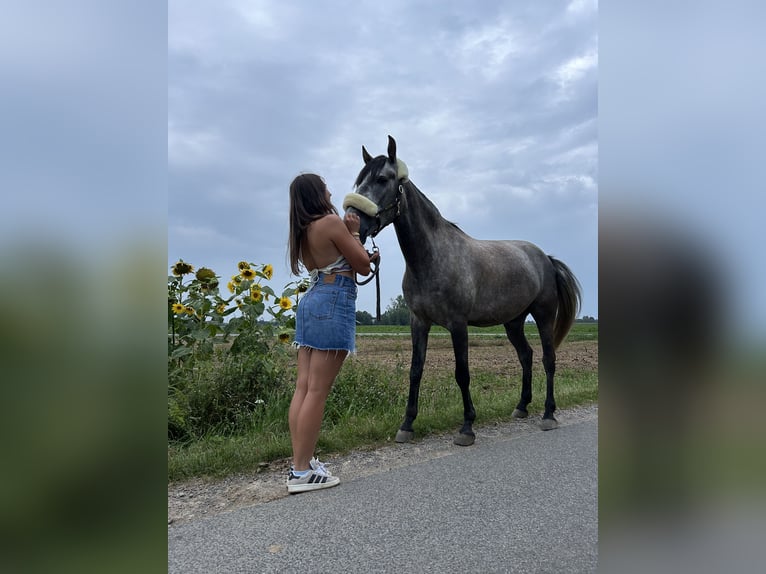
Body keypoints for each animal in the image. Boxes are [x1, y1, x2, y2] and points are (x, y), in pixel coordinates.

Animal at [344, 137, 584, 448]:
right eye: (359, 180)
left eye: (382, 178)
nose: (351, 221)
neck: (432, 257)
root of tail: (545, 258)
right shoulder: (418, 322)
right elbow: (415, 371)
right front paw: (407, 424)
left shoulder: (458, 325)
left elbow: (462, 373)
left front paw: (467, 426)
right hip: (513, 322)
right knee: (526, 356)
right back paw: (521, 407)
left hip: (543, 316)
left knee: (548, 359)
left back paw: (548, 414)